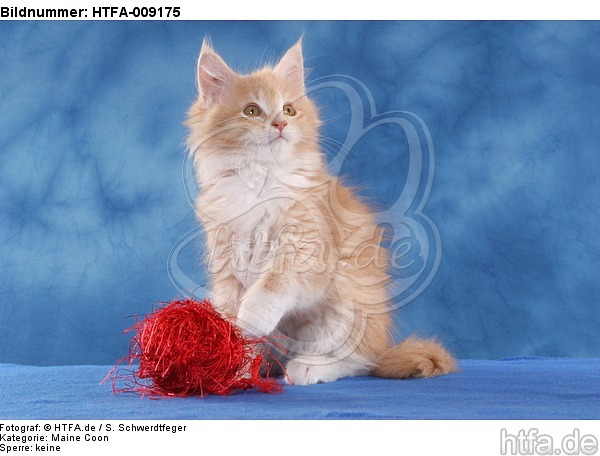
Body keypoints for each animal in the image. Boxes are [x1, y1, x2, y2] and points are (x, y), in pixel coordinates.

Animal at [185, 40, 458, 384]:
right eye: (252, 111)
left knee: (359, 359)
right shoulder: (227, 267)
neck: (260, 181)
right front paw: (236, 367)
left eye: (289, 109)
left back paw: (309, 367)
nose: (280, 124)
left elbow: (274, 282)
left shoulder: (309, 251)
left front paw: (253, 316)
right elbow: (233, 324)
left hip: (349, 297)